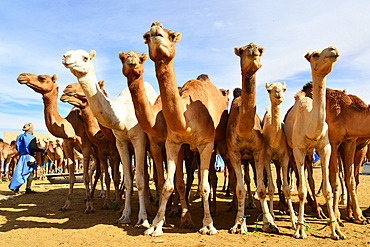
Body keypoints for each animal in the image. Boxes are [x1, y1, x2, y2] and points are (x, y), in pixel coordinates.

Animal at [17, 72, 95, 213]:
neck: (71, 126)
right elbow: (71, 177)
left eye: (42, 78)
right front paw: (66, 205)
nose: (22, 75)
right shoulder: (68, 147)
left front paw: (89, 207)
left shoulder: (86, 145)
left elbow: (85, 177)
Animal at [62, 48, 158, 228]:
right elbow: (128, 179)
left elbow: (139, 179)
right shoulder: (120, 142)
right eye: (68, 53)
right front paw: (125, 216)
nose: (66, 57)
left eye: (85, 58)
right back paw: (148, 205)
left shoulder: (139, 140)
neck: (122, 114)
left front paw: (142, 219)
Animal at [142, 20, 228, 235]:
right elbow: (168, 185)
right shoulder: (172, 143)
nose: (156, 26)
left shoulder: (206, 144)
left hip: (217, 145)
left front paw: (208, 225)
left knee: (212, 177)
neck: (186, 119)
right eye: (146, 36)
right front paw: (155, 226)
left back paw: (214, 209)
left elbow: (205, 185)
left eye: (171, 35)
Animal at [284, 45, 346, 239]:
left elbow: (328, 190)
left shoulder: (325, 148)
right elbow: (301, 191)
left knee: (310, 178)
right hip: (291, 152)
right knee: (296, 180)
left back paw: (319, 212)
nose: (333, 49)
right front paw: (300, 229)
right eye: (315, 55)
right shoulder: (298, 149)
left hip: (311, 153)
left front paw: (336, 230)